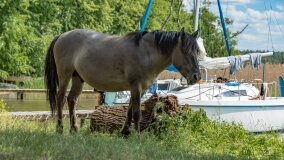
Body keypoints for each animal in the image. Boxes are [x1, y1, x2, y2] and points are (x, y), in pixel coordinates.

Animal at [44, 27, 201, 134]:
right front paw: (136, 135)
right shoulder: (136, 86)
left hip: (78, 77)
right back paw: (60, 129)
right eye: (186, 51)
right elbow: (137, 113)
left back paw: (74, 129)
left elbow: (130, 110)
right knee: (60, 99)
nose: (197, 76)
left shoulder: (140, 89)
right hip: (65, 75)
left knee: (72, 100)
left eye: (197, 51)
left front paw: (125, 132)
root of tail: (62, 36)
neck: (146, 53)